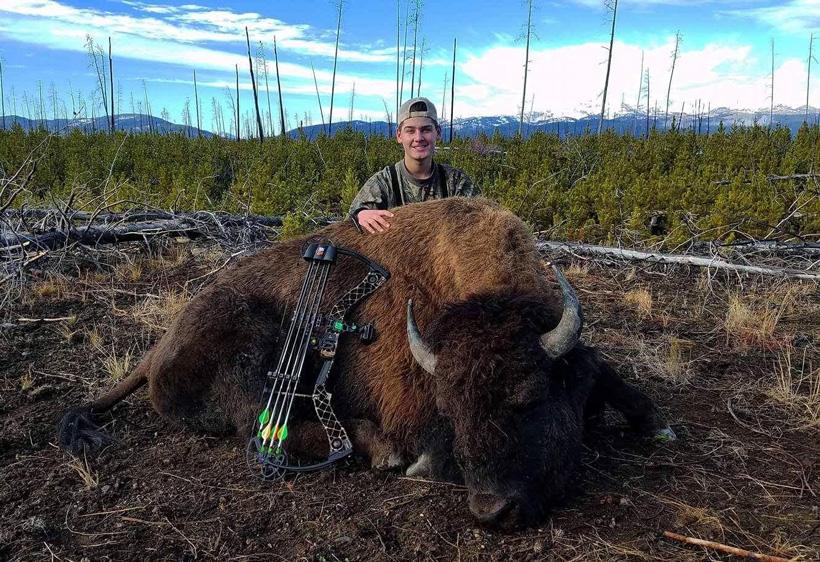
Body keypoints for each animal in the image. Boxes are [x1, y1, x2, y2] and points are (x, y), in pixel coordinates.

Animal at [58, 197, 674, 527]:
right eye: (452, 407)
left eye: (529, 396)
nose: (491, 511)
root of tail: (158, 348)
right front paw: (416, 460)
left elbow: (614, 379)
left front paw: (653, 422)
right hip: (249, 340)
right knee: (259, 425)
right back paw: (379, 451)